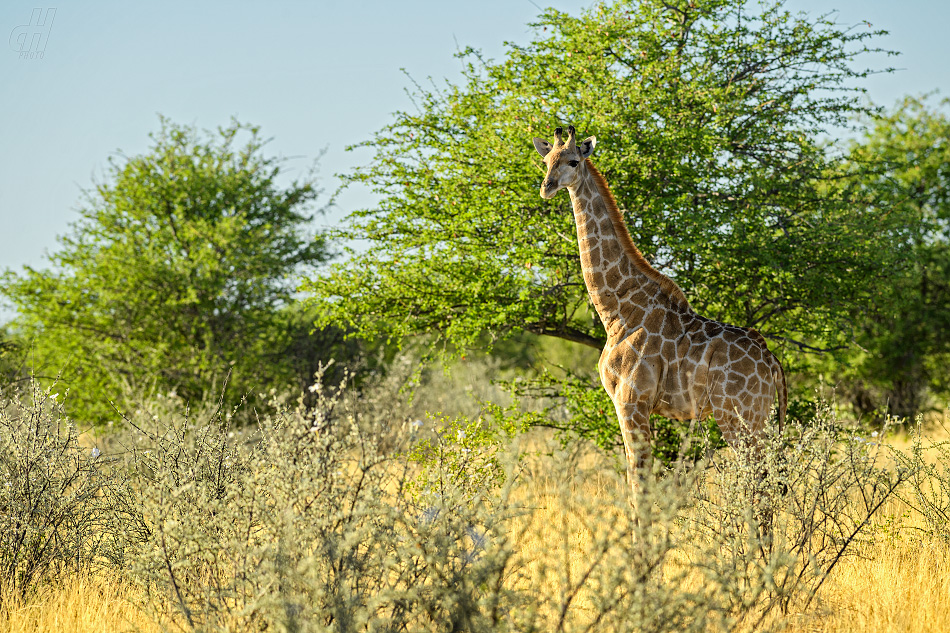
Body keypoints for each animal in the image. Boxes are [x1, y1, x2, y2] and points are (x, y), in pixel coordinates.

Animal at [536, 123, 788, 488]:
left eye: (572, 161)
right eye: (546, 162)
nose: (547, 187)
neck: (617, 311)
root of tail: (772, 361)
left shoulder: (630, 402)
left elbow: (638, 480)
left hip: (739, 415)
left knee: (759, 480)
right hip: (760, 416)